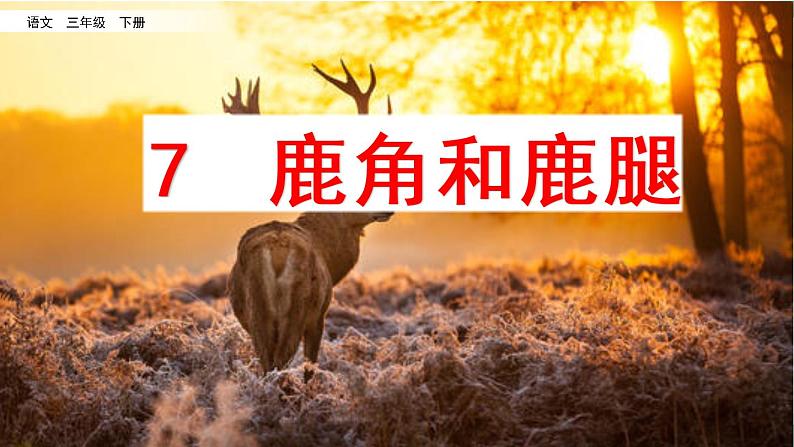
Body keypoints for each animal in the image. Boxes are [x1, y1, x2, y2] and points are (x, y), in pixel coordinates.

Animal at [224, 60, 393, 380]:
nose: (389, 208)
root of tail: (276, 251)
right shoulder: (320, 315)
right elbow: (310, 365)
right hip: (298, 308)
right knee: (279, 364)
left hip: (256, 315)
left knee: (267, 364)